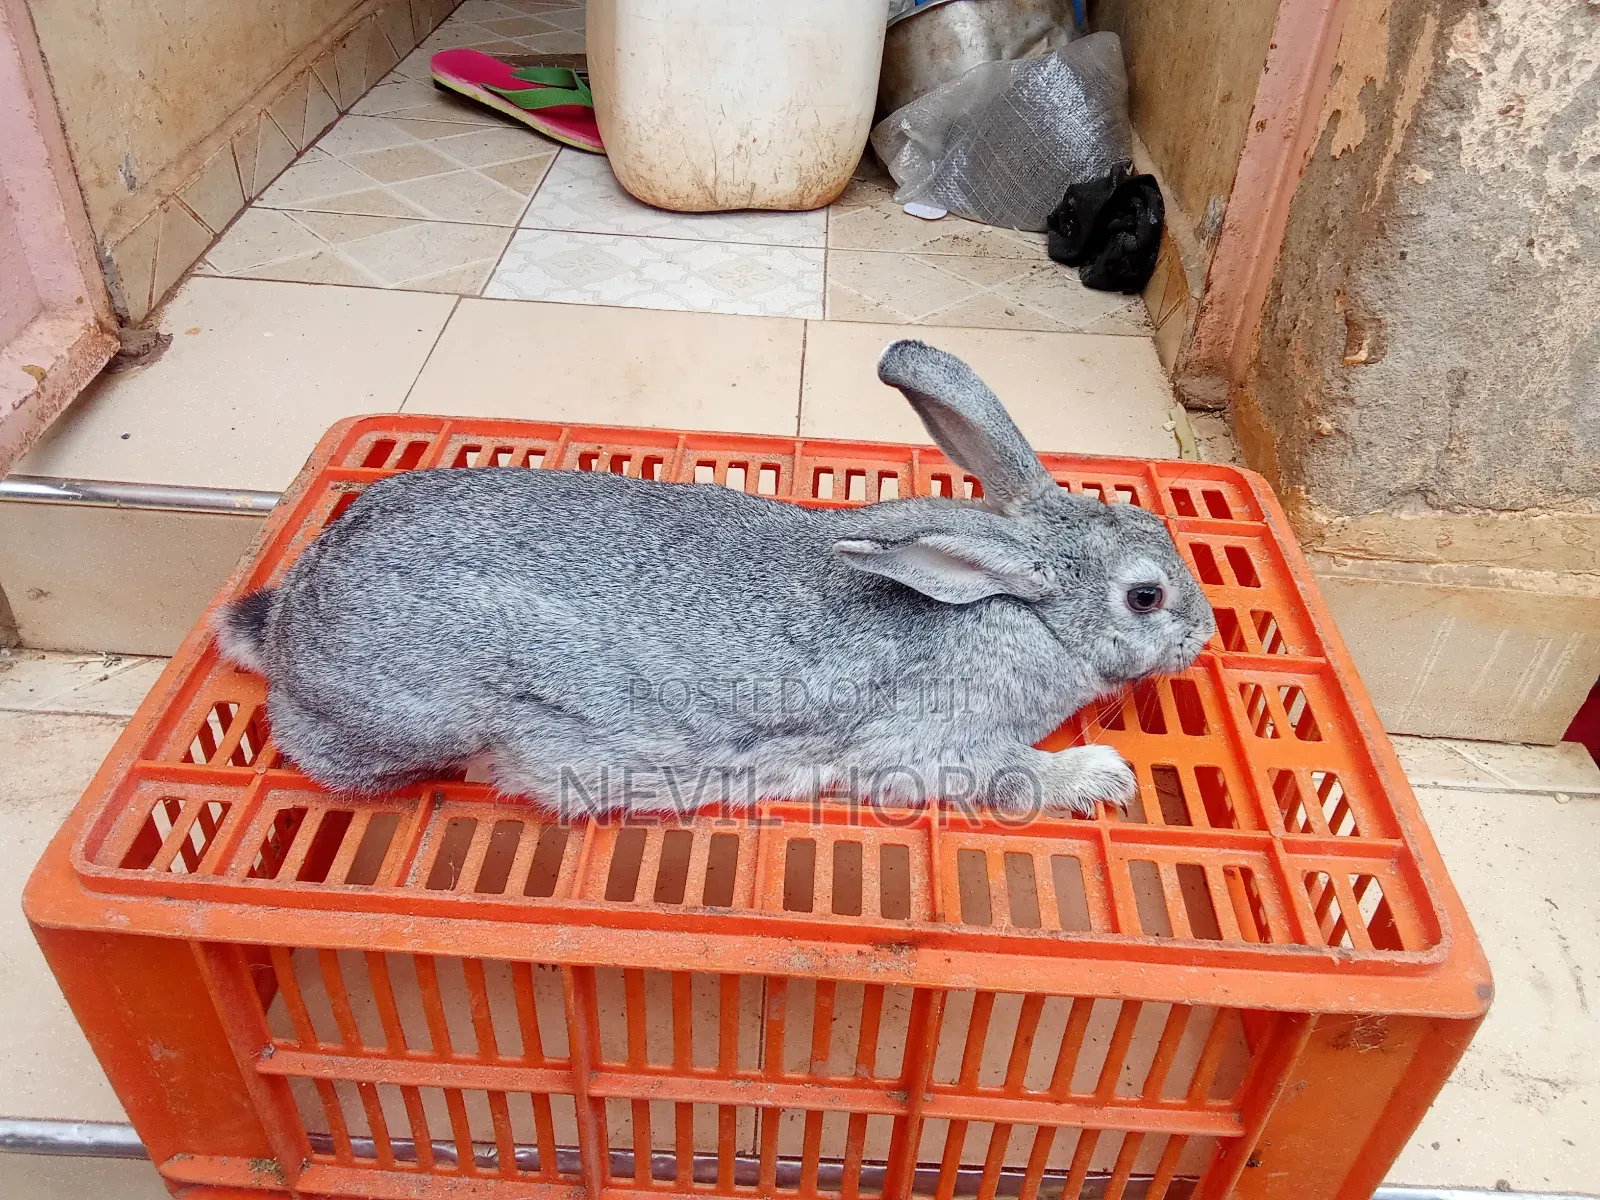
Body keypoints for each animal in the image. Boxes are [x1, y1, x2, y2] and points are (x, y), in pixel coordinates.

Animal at [213, 339, 1215, 820]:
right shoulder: (927, 746)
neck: (1020, 606)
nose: (1207, 635)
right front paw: (1102, 776)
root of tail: (287, 616)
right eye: (1146, 596)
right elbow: (1006, 774)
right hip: (397, 722)